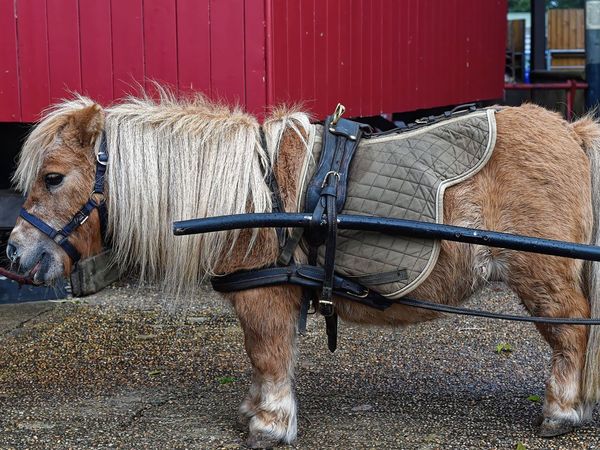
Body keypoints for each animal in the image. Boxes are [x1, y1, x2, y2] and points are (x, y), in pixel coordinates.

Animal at [7, 93, 600, 448]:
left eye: (54, 178)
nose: (13, 254)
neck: (253, 195)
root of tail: (571, 132)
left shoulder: (265, 300)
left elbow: (267, 355)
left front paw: (270, 423)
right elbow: (268, 359)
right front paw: (255, 409)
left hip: (541, 275)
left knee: (571, 331)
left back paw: (561, 410)